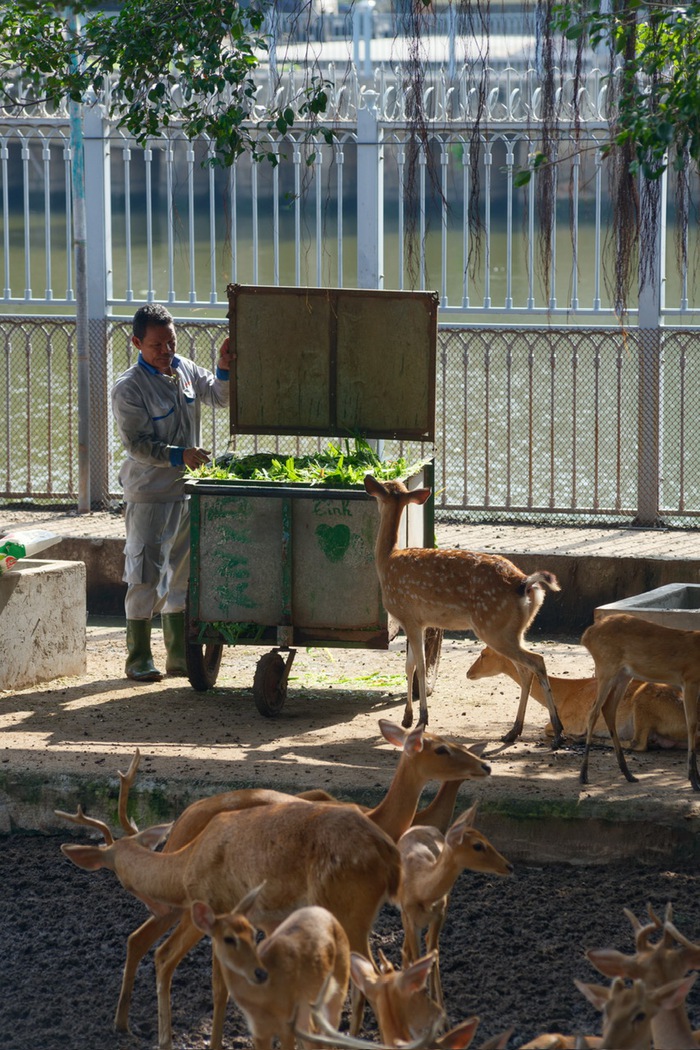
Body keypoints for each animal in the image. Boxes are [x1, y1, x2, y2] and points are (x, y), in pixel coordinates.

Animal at [189, 886, 350, 1050]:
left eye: (253, 934)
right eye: (228, 939)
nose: (260, 973)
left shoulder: (287, 1022)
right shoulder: (258, 1030)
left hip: (339, 987)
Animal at [361, 476, 562, 747]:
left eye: (384, 484)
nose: (369, 477)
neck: (388, 559)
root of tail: (525, 584)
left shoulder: (408, 616)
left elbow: (420, 667)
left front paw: (422, 719)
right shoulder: (420, 621)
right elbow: (409, 666)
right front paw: (406, 718)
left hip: (494, 627)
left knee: (536, 662)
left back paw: (557, 731)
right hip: (516, 630)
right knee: (525, 669)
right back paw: (514, 731)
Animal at [396, 802, 512, 1007]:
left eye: (486, 838)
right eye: (478, 845)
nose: (509, 866)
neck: (420, 887)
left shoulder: (439, 913)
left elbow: (433, 953)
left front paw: (438, 1004)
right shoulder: (409, 916)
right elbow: (418, 957)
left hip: (447, 903)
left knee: (430, 946)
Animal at [465, 642, 688, 751]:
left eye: (483, 654)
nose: (468, 673)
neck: (566, 693)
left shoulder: (572, 720)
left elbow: (548, 727)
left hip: (643, 705)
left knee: (638, 744)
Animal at [579, 613, 700, 789]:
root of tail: (587, 634)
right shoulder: (690, 680)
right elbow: (692, 725)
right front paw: (694, 780)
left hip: (623, 674)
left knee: (608, 708)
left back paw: (628, 774)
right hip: (606, 668)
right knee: (593, 711)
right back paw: (583, 775)